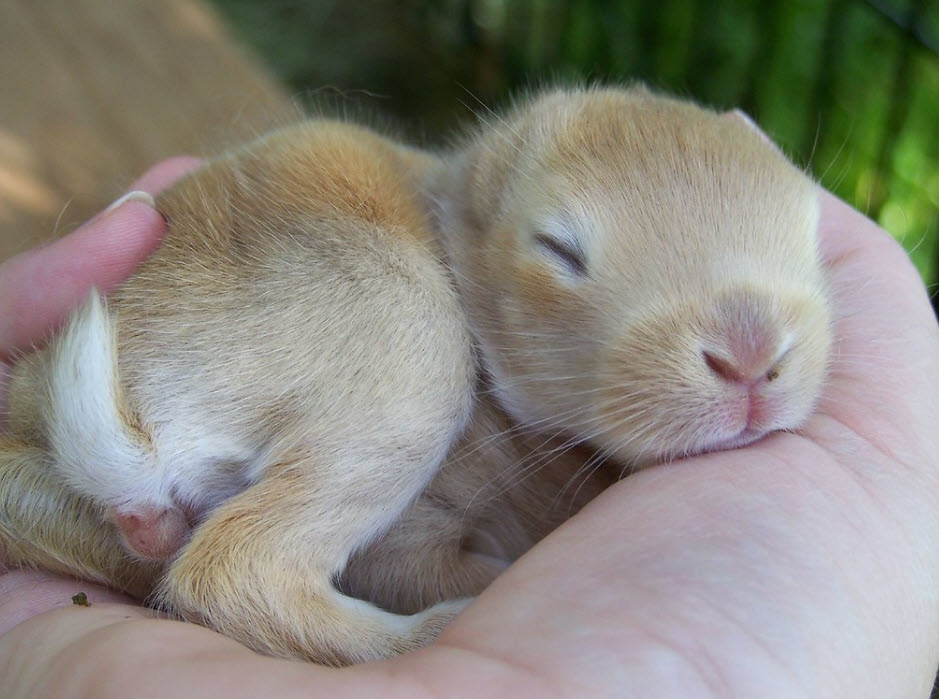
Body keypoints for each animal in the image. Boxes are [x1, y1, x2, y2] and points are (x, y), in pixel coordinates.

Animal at [0, 85, 832, 664]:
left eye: (808, 231)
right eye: (558, 249)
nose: (750, 352)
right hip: (412, 354)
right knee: (236, 571)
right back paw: (432, 631)